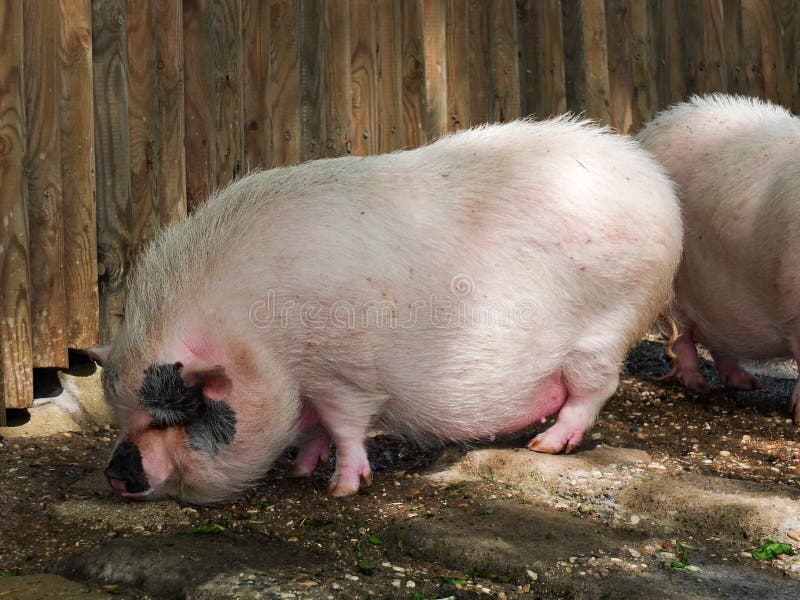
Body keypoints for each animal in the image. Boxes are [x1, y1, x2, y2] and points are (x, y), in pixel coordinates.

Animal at [100, 117, 683, 503]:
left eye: (177, 414)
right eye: (123, 413)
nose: (115, 474)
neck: (256, 341)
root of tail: (654, 182)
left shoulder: (340, 372)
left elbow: (345, 426)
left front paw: (340, 489)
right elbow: (312, 430)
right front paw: (299, 472)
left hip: (607, 326)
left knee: (594, 390)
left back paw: (546, 446)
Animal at [637, 94, 800, 423]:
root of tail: (652, 128)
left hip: (719, 298)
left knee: (719, 341)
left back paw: (748, 383)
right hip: (672, 290)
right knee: (683, 338)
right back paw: (698, 386)